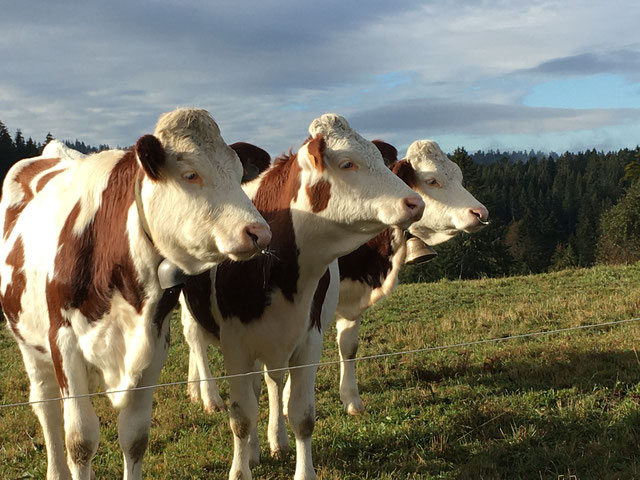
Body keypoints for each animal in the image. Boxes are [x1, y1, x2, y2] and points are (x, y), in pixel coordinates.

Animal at [0, 108, 271, 480]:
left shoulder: (154, 344)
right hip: (28, 340)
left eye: (239, 174)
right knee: (46, 407)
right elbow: (80, 441)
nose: (260, 232)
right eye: (190, 174)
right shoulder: (63, 341)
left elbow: (136, 437)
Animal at [179, 113, 425, 480]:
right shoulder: (236, 345)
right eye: (347, 162)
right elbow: (241, 418)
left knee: (271, 382)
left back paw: (273, 441)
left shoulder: (308, 339)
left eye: (380, 160)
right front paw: (240, 468)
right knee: (203, 348)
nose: (415, 202)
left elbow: (302, 415)